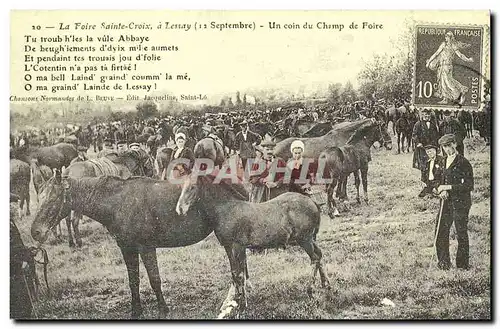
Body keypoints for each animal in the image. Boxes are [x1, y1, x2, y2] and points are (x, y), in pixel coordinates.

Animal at [174, 176, 330, 316]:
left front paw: (242, 305)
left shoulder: (238, 246)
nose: (179, 209)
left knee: (315, 258)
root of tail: (312, 202)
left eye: (193, 187)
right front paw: (236, 301)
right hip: (309, 239)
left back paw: (310, 290)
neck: (228, 209)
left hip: (304, 240)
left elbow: (240, 274)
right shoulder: (228, 247)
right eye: (182, 186)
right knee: (319, 254)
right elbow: (234, 273)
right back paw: (326, 284)